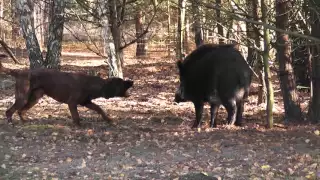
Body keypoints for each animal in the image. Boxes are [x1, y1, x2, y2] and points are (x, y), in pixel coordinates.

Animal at [0, 54, 132, 126]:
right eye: (122, 83)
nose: (132, 81)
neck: (92, 85)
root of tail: (18, 72)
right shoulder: (72, 103)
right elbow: (76, 116)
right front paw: (79, 126)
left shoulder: (87, 102)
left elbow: (100, 109)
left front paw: (108, 119)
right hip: (23, 97)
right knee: (9, 111)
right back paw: (11, 123)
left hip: (34, 98)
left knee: (20, 111)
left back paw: (24, 121)